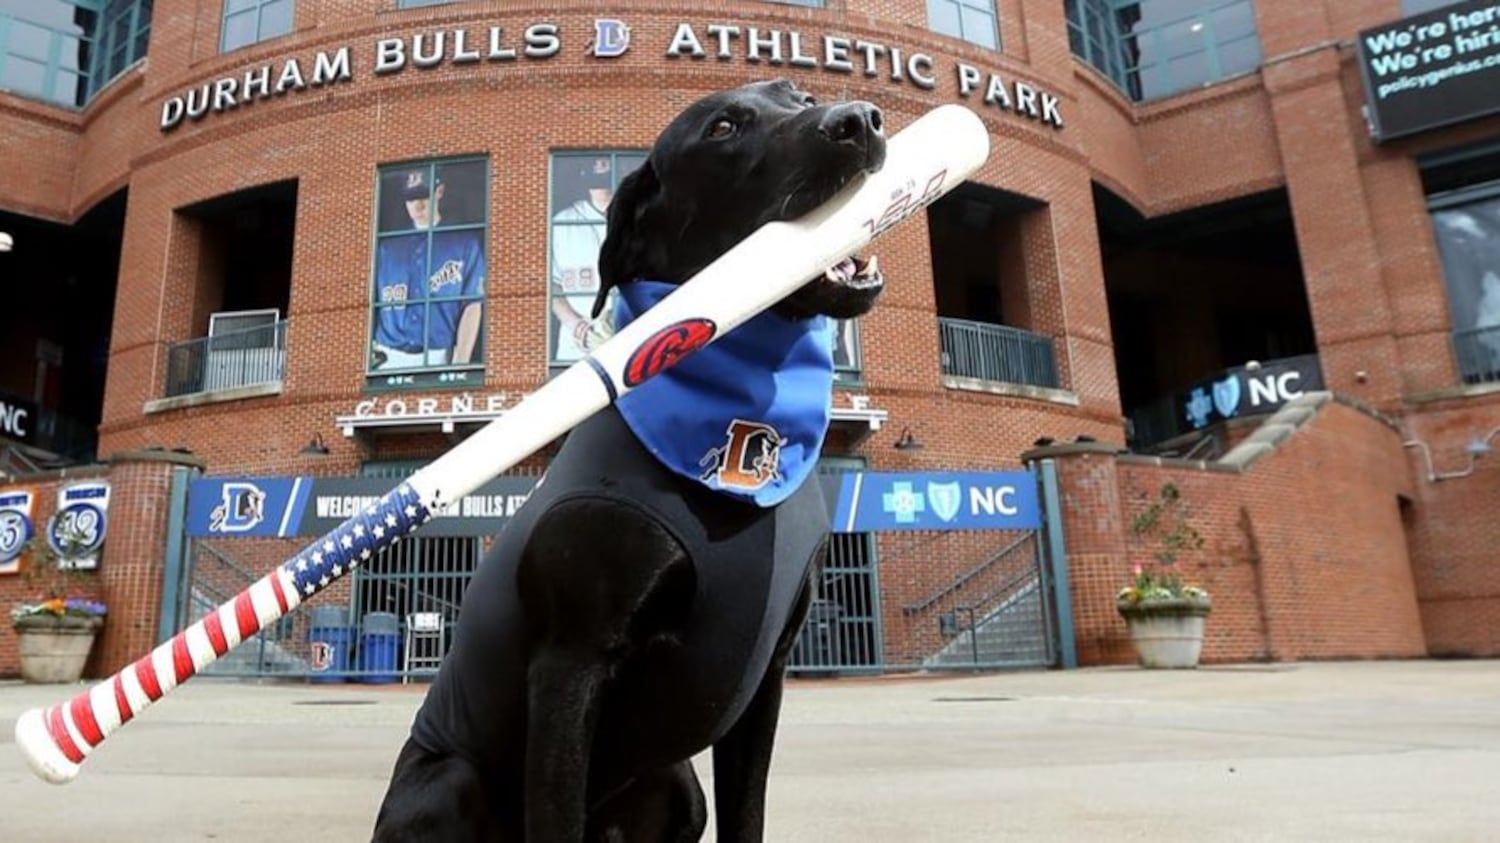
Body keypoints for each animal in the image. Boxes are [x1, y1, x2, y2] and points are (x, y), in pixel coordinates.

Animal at [375, 77, 882, 834]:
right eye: (723, 127)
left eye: (799, 94)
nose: (860, 120)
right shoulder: (571, 664)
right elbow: (554, 815)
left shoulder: (767, 678)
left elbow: (748, 814)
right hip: (451, 779)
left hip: (677, 784)